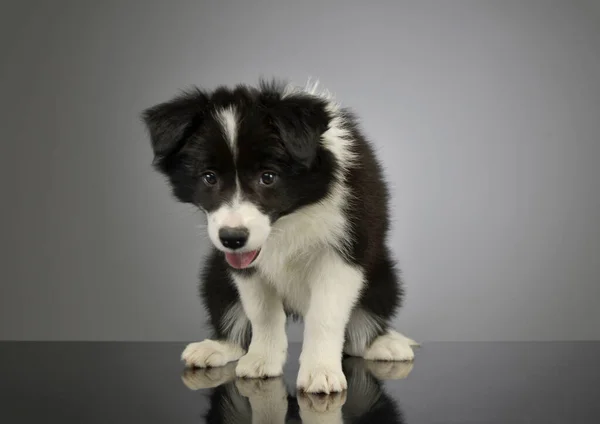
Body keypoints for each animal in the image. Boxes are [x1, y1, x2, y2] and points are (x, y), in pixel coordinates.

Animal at [141, 78, 418, 392]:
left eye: (268, 177)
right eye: (209, 177)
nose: (232, 238)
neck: (289, 220)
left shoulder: (345, 249)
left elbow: (325, 315)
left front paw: (321, 372)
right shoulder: (243, 266)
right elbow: (262, 313)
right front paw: (262, 360)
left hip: (384, 277)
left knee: (361, 330)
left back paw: (384, 344)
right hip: (215, 274)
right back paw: (217, 347)